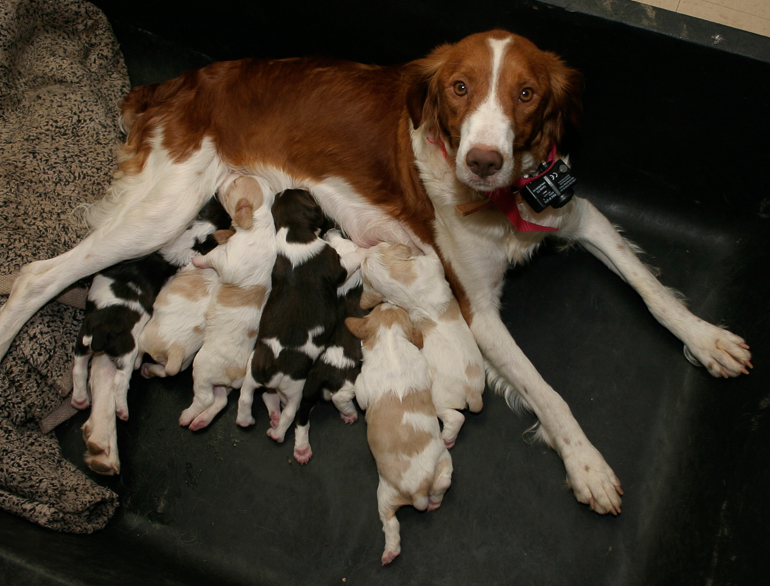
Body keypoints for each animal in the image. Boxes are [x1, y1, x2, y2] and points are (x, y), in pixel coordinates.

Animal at [179, 173, 276, 428]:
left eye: (235, 183)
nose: (230, 173)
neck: (259, 222)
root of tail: (236, 374)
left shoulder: (228, 261)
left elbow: (212, 256)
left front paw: (198, 260)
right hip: (219, 383)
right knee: (220, 400)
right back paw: (201, 421)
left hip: (201, 367)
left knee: (205, 398)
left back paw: (188, 416)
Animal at [346, 302, 450, 560]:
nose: (387, 301)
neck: (391, 338)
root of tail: (420, 490)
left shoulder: (363, 387)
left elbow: (360, 396)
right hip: (444, 461)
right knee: (442, 485)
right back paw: (435, 501)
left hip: (384, 496)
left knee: (390, 524)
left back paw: (390, 552)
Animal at [358, 242, 480, 448]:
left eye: (378, 245)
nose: (367, 250)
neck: (397, 282)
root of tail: (473, 393)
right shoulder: (431, 265)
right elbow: (432, 253)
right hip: (439, 400)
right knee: (456, 417)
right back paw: (448, 438)